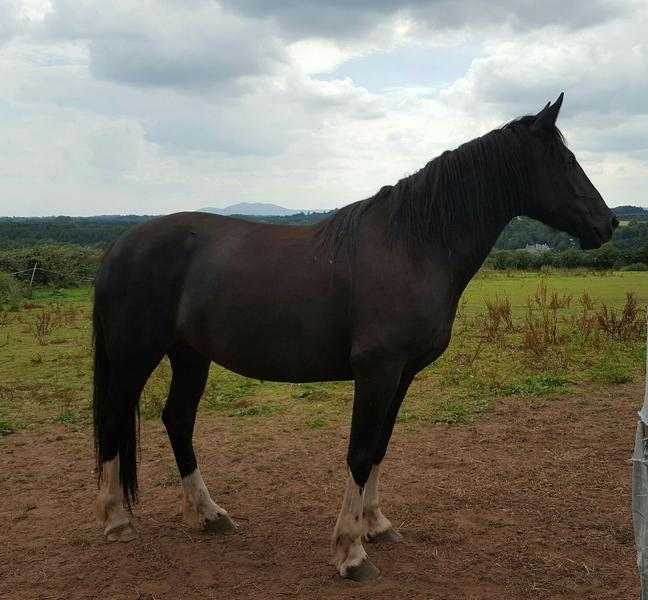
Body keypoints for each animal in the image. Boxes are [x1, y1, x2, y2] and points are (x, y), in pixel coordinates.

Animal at [92, 95, 616, 580]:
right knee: (115, 417)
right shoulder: (377, 370)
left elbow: (380, 444)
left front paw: (376, 525)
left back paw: (207, 514)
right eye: (565, 160)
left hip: (190, 356)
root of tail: (122, 244)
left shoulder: (402, 374)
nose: (608, 223)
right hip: (134, 355)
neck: (412, 246)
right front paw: (350, 551)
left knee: (177, 420)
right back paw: (116, 520)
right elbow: (360, 452)